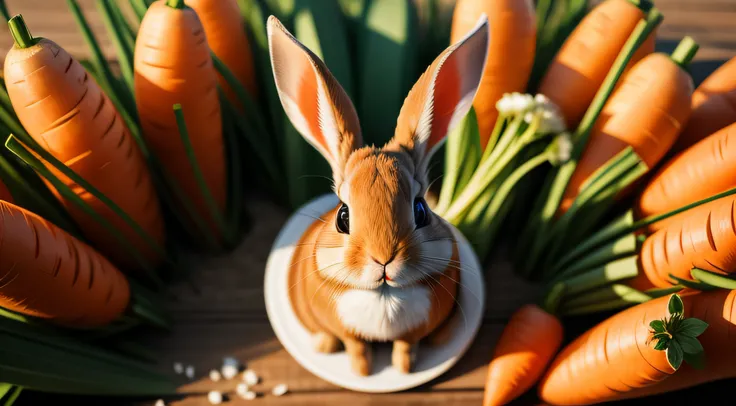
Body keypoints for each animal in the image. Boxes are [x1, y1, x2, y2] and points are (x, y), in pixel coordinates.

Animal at [268, 13, 492, 378]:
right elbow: (356, 346)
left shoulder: (412, 333)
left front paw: (404, 369)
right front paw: (363, 372)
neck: (384, 296)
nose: (384, 259)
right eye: (343, 217)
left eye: (421, 211)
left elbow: (406, 344)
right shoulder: (349, 333)